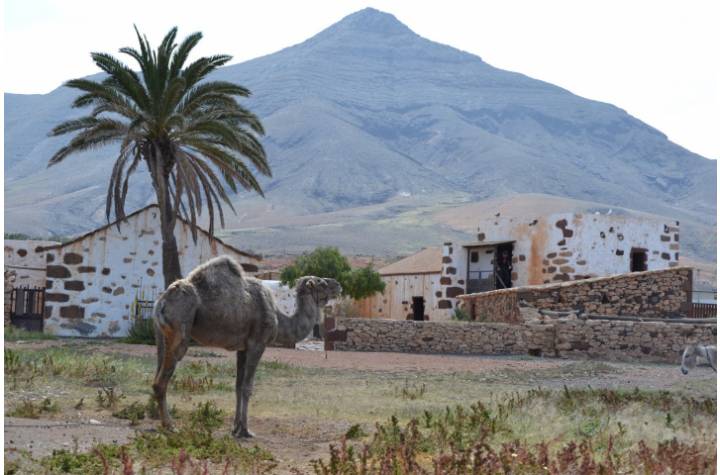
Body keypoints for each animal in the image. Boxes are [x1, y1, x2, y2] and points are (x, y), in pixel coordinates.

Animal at [151, 256, 340, 438]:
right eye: (321, 283)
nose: (338, 285)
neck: (279, 318)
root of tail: (162, 301)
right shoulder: (258, 343)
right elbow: (248, 387)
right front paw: (245, 430)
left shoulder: (242, 348)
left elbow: (238, 386)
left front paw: (235, 428)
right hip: (180, 330)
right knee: (162, 380)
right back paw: (170, 426)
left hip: (161, 335)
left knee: (157, 374)